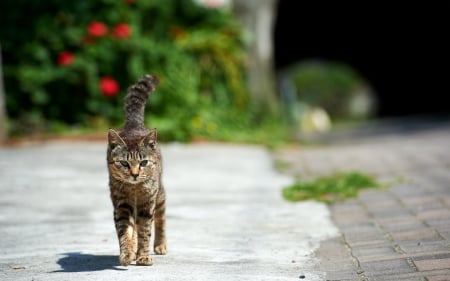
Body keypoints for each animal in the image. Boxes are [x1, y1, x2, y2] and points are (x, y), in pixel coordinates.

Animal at [106, 74, 166, 264]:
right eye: (124, 163)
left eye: (143, 163)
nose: (134, 174)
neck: (134, 189)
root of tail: (133, 122)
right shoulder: (121, 205)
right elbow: (125, 231)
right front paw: (127, 253)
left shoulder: (147, 205)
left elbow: (145, 232)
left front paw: (144, 256)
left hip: (159, 195)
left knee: (161, 218)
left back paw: (160, 245)